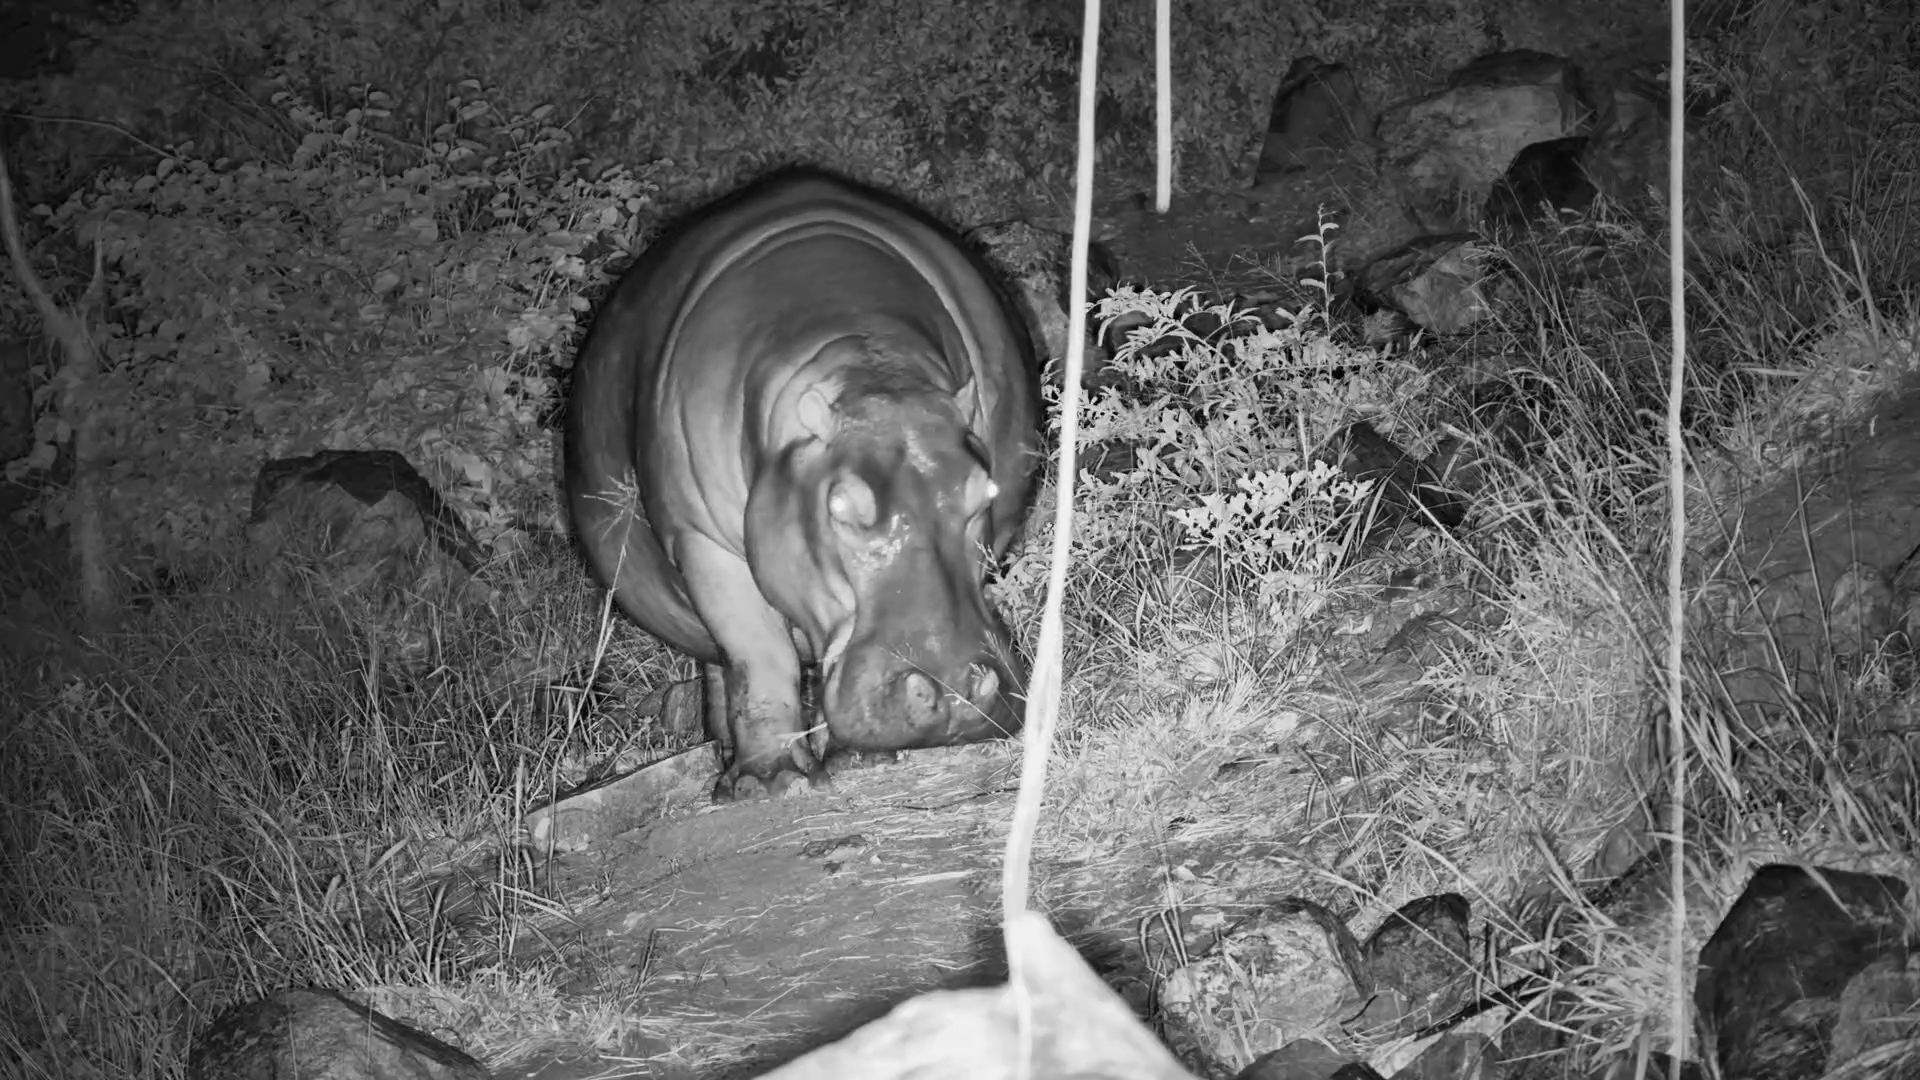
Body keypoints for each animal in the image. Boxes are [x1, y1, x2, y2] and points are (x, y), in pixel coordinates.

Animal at [564, 167, 1041, 801]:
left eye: (982, 494)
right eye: (841, 505)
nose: (958, 697)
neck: (869, 367)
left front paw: (858, 762)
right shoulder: (700, 540)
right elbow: (757, 654)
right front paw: (772, 783)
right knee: (723, 664)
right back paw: (728, 772)